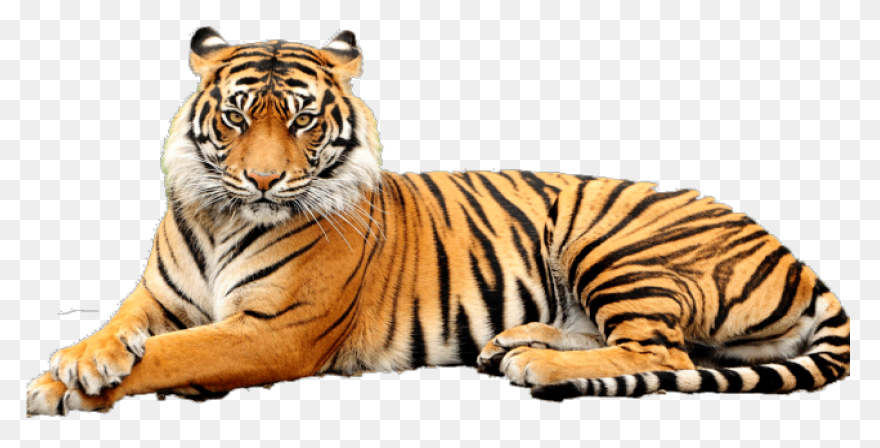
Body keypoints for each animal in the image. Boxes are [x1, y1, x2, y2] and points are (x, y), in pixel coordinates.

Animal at [26, 28, 850, 416]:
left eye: (301, 120)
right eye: (235, 117)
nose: (263, 179)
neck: (224, 215)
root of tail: (795, 256)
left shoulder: (273, 330)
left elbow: (176, 354)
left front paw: (69, 385)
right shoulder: (157, 298)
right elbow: (119, 328)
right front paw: (79, 359)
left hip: (615, 242)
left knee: (661, 350)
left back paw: (534, 364)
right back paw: (516, 341)